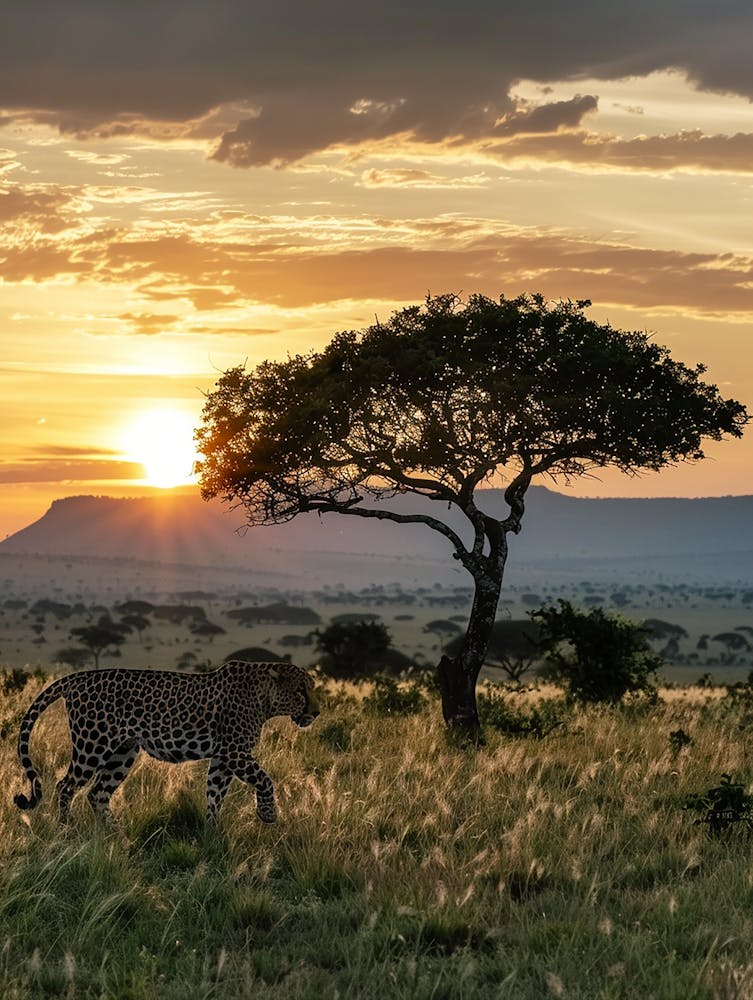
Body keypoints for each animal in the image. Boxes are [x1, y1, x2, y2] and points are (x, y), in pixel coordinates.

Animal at [14, 659, 319, 826]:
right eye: (300, 692)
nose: (316, 712)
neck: (265, 701)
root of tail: (78, 677)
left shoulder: (223, 757)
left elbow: (214, 795)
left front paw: (213, 834)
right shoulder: (235, 751)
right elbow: (265, 779)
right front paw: (268, 814)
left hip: (123, 752)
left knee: (97, 793)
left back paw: (116, 834)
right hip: (93, 745)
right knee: (65, 786)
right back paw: (68, 830)